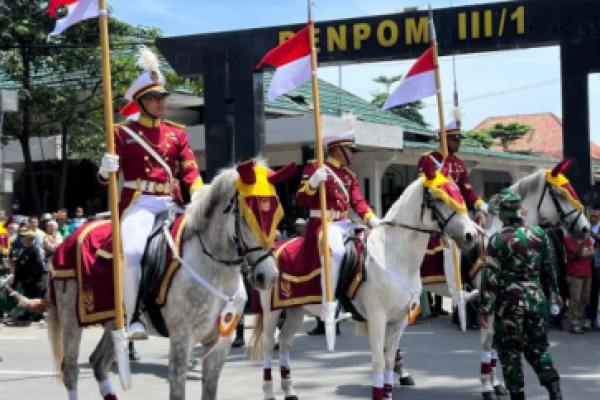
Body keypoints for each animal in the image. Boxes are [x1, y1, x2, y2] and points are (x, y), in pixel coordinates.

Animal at [45, 159, 292, 400]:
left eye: (278, 215)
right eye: (245, 217)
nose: (268, 276)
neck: (215, 270)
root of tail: (69, 239)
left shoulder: (220, 342)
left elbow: (209, 391)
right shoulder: (182, 340)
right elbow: (177, 391)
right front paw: (109, 165)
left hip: (112, 322)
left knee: (99, 363)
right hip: (72, 321)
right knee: (71, 370)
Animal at [251, 164, 476, 400]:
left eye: (459, 195)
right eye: (439, 198)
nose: (471, 235)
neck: (394, 255)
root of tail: (276, 248)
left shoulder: (399, 319)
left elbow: (388, 360)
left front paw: (390, 389)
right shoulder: (377, 316)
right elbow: (378, 361)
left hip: (296, 310)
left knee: (285, 342)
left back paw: (290, 390)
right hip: (271, 311)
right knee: (269, 346)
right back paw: (269, 392)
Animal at [426, 160, 592, 400]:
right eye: (561, 194)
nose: (585, 229)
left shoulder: (499, 304)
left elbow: (496, 345)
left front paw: (496, 384)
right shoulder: (486, 302)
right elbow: (488, 343)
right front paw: (487, 387)